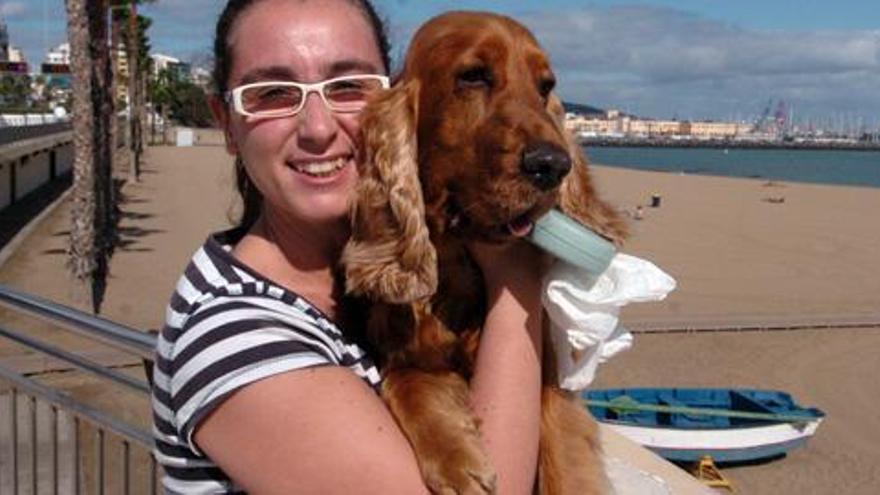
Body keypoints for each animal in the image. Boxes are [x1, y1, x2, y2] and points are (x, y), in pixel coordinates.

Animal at [342, 11, 624, 495]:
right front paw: (455, 456)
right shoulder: (404, 350)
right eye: (473, 76)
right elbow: (404, 381)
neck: (459, 266)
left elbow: (564, 465)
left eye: (545, 86)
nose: (553, 165)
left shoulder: (551, 388)